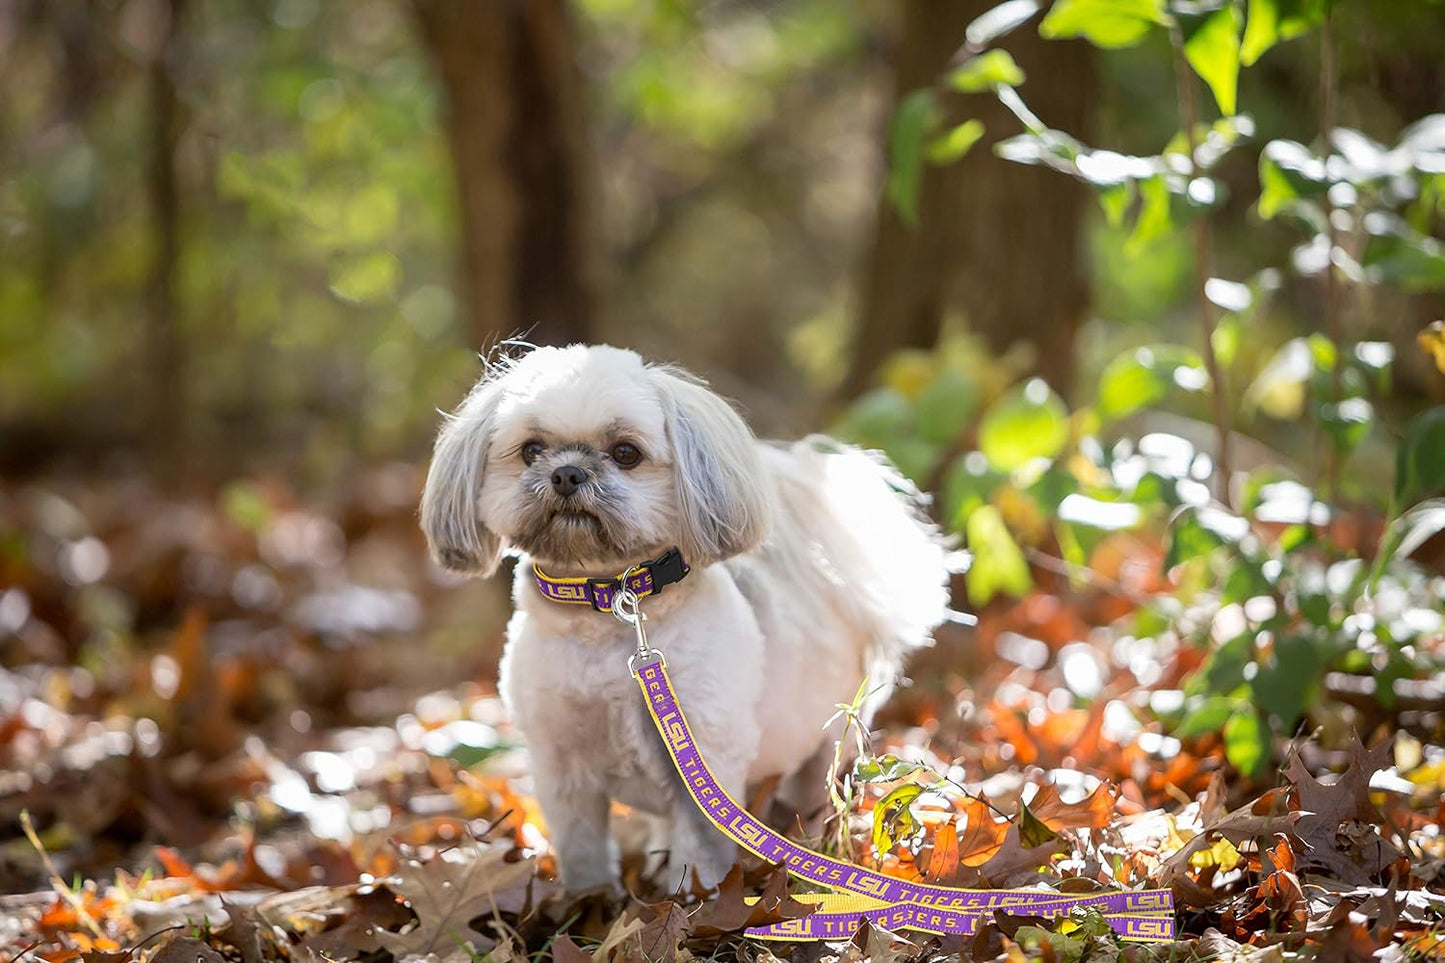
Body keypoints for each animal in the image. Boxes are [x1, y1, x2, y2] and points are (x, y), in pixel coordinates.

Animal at [419, 345, 947, 890]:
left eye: (626, 452)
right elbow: (582, 848)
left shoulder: (704, 756)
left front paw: (695, 897)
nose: (566, 474)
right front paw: (589, 899)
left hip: (828, 739)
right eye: (531, 449)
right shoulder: (560, 766)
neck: (610, 612)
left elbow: (703, 844)